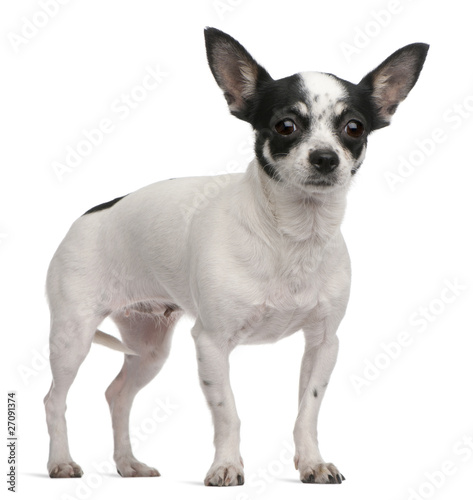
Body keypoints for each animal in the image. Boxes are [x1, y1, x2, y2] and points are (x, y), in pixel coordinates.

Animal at [44, 26, 428, 484]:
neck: (292, 236)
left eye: (354, 127)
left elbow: (307, 411)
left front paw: (312, 462)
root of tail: (86, 217)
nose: (325, 157)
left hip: (149, 349)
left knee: (117, 394)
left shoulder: (323, 343)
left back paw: (127, 463)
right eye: (285, 125)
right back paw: (61, 461)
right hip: (73, 338)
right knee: (55, 399)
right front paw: (226, 466)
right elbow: (228, 413)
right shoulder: (211, 343)